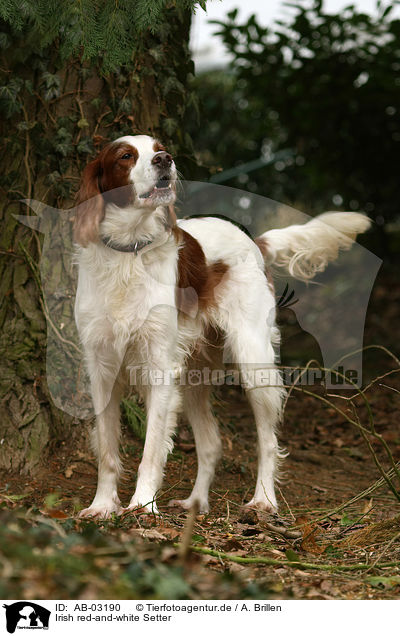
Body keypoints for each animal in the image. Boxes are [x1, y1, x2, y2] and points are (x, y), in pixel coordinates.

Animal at [73, 134, 370, 516]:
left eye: (159, 146)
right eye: (125, 156)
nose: (165, 159)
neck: (130, 252)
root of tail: (253, 242)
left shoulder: (159, 366)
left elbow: (151, 449)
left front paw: (142, 506)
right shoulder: (101, 368)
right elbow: (107, 450)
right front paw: (102, 505)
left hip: (253, 359)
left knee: (267, 441)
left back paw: (263, 500)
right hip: (194, 376)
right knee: (212, 443)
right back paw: (196, 502)